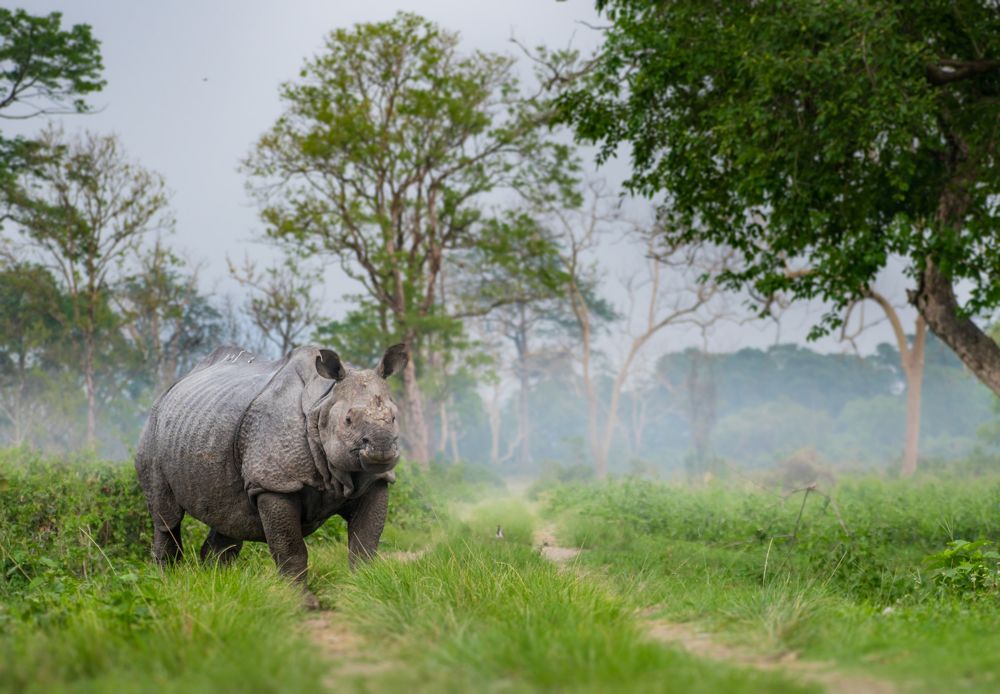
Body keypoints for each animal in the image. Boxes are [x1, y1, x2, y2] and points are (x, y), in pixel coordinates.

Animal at [135, 343, 408, 608]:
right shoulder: (274, 484)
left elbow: (366, 542)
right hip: (153, 432)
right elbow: (290, 547)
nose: (382, 447)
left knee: (228, 517)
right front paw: (303, 602)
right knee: (167, 517)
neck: (322, 403)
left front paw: (362, 592)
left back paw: (216, 583)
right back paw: (167, 582)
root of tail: (171, 389)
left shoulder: (375, 480)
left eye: (395, 417)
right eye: (348, 420)